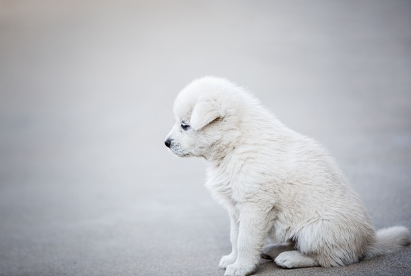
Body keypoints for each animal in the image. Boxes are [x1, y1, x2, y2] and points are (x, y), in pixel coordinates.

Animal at [165, 77, 411, 276]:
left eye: (185, 125)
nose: (166, 143)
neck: (236, 143)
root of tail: (367, 242)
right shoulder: (236, 207)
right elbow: (235, 237)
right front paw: (232, 259)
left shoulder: (254, 206)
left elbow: (246, 240)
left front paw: (241, 267)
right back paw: (274, 249)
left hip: (316, 230)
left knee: (331, 258)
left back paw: (290, 258)